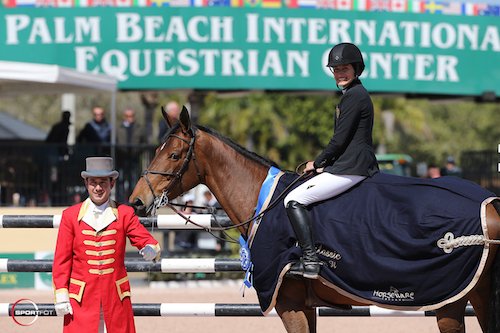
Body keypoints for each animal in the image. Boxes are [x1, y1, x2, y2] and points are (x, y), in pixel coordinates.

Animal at [130, 106, 500, 332]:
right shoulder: (305, 305)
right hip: (479, 296)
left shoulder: (289, 301)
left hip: (450, 302)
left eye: (174, 155)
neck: (264, 198)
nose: (137, 200)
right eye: (157, 150)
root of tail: (488, 202)